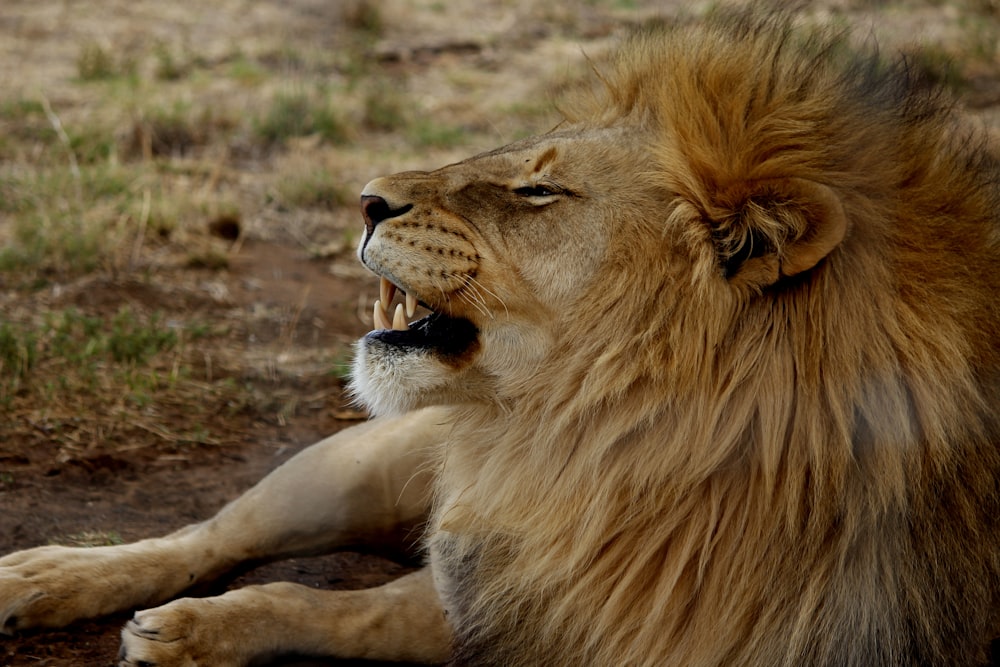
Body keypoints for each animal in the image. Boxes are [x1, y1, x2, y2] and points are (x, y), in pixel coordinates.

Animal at [1, 9, 1000, 667]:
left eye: (537, 191)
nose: (364, 197)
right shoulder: (518, 569)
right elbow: (305, 592)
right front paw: (190, 627)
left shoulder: (562, 592)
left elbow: (354, 612)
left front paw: (208, 630)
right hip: (358, 460)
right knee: (209, 534)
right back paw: (45, 579)